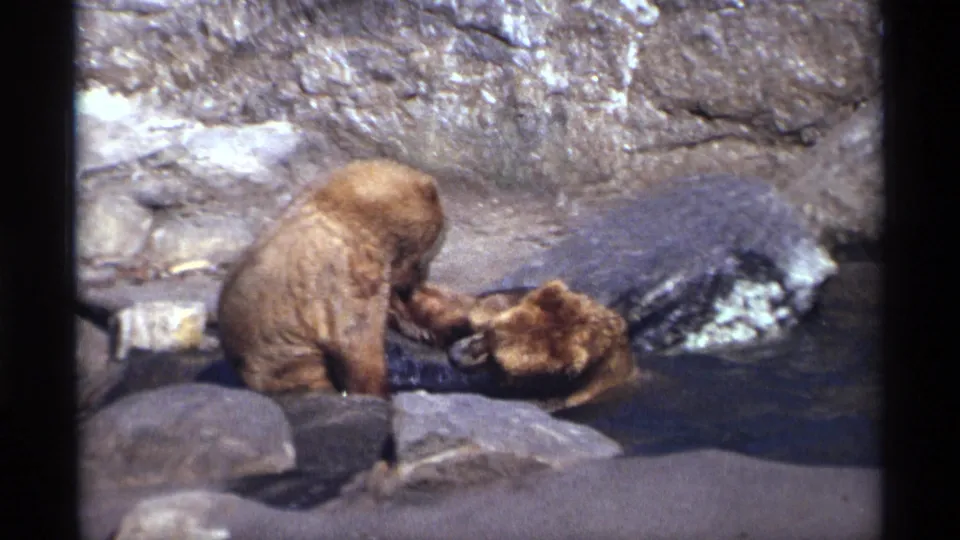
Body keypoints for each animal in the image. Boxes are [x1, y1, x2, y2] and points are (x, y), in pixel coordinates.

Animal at [217, 158, 451, 397]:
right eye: (433, 248)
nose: (419, 280)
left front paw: (421, 329)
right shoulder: (346, 271)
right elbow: (356, 337)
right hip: (286, 356)